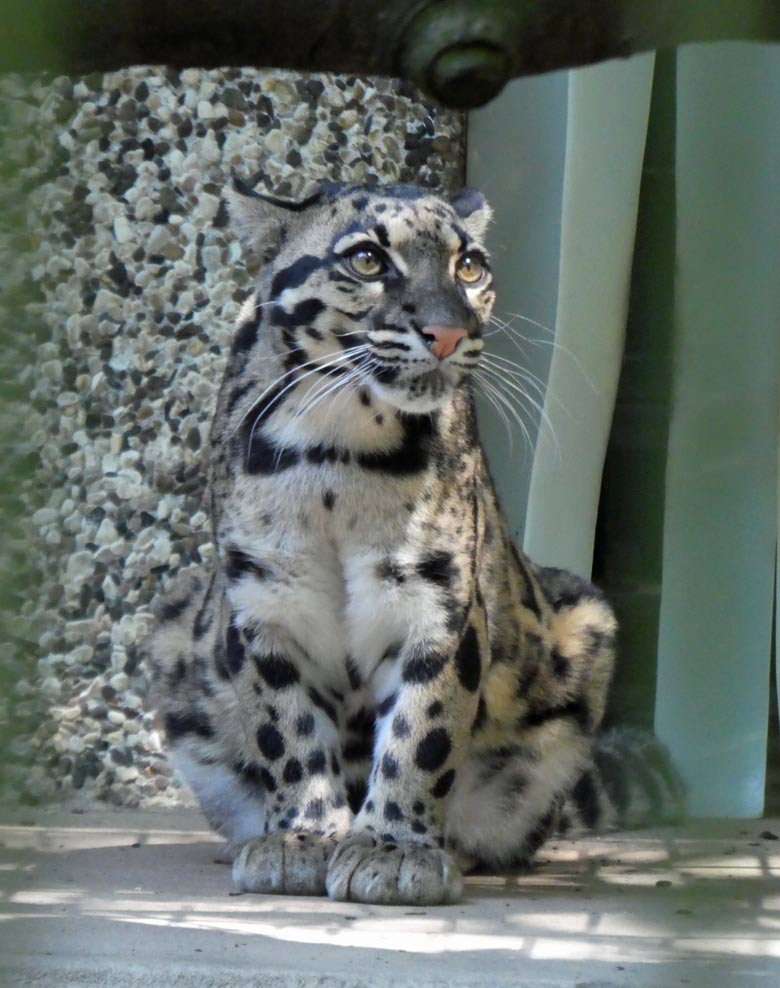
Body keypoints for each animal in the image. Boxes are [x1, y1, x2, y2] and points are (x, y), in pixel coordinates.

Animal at [148, 178, 684, 904]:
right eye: (368, 260)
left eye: (470, 267)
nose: (450, 330)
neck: (338, 450)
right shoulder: (260, 597)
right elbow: (285, 727)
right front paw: (301, 838)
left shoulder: (439, 600)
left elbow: (421, 729)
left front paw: (393, 849)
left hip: (584, 622)